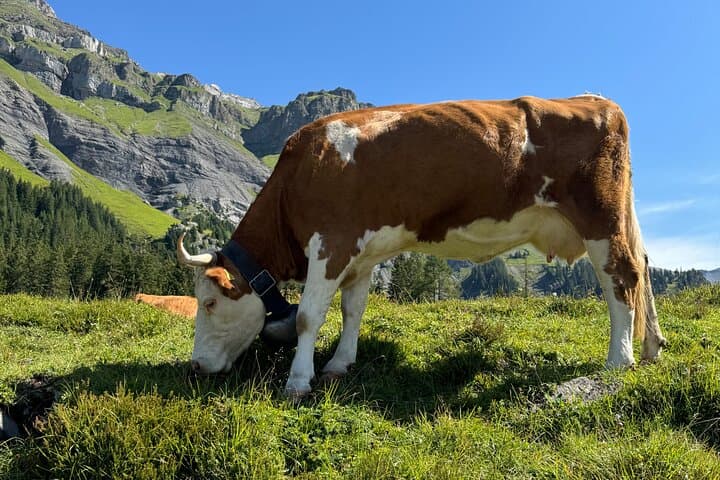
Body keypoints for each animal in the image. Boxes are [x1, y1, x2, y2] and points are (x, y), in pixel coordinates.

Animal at [177, 95, 667, 398]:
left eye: (209, 303)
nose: (195, 367)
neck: (300, 174)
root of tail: (595, 100)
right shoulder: (361, 253)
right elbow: (353, 310)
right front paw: (340, 364)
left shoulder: (331, 242)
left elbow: (308, 317)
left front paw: (298, 381)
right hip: (620, 218)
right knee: (643, 267)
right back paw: (651, 346)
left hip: (600, 219)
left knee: (622, 279)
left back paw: (619, 360)